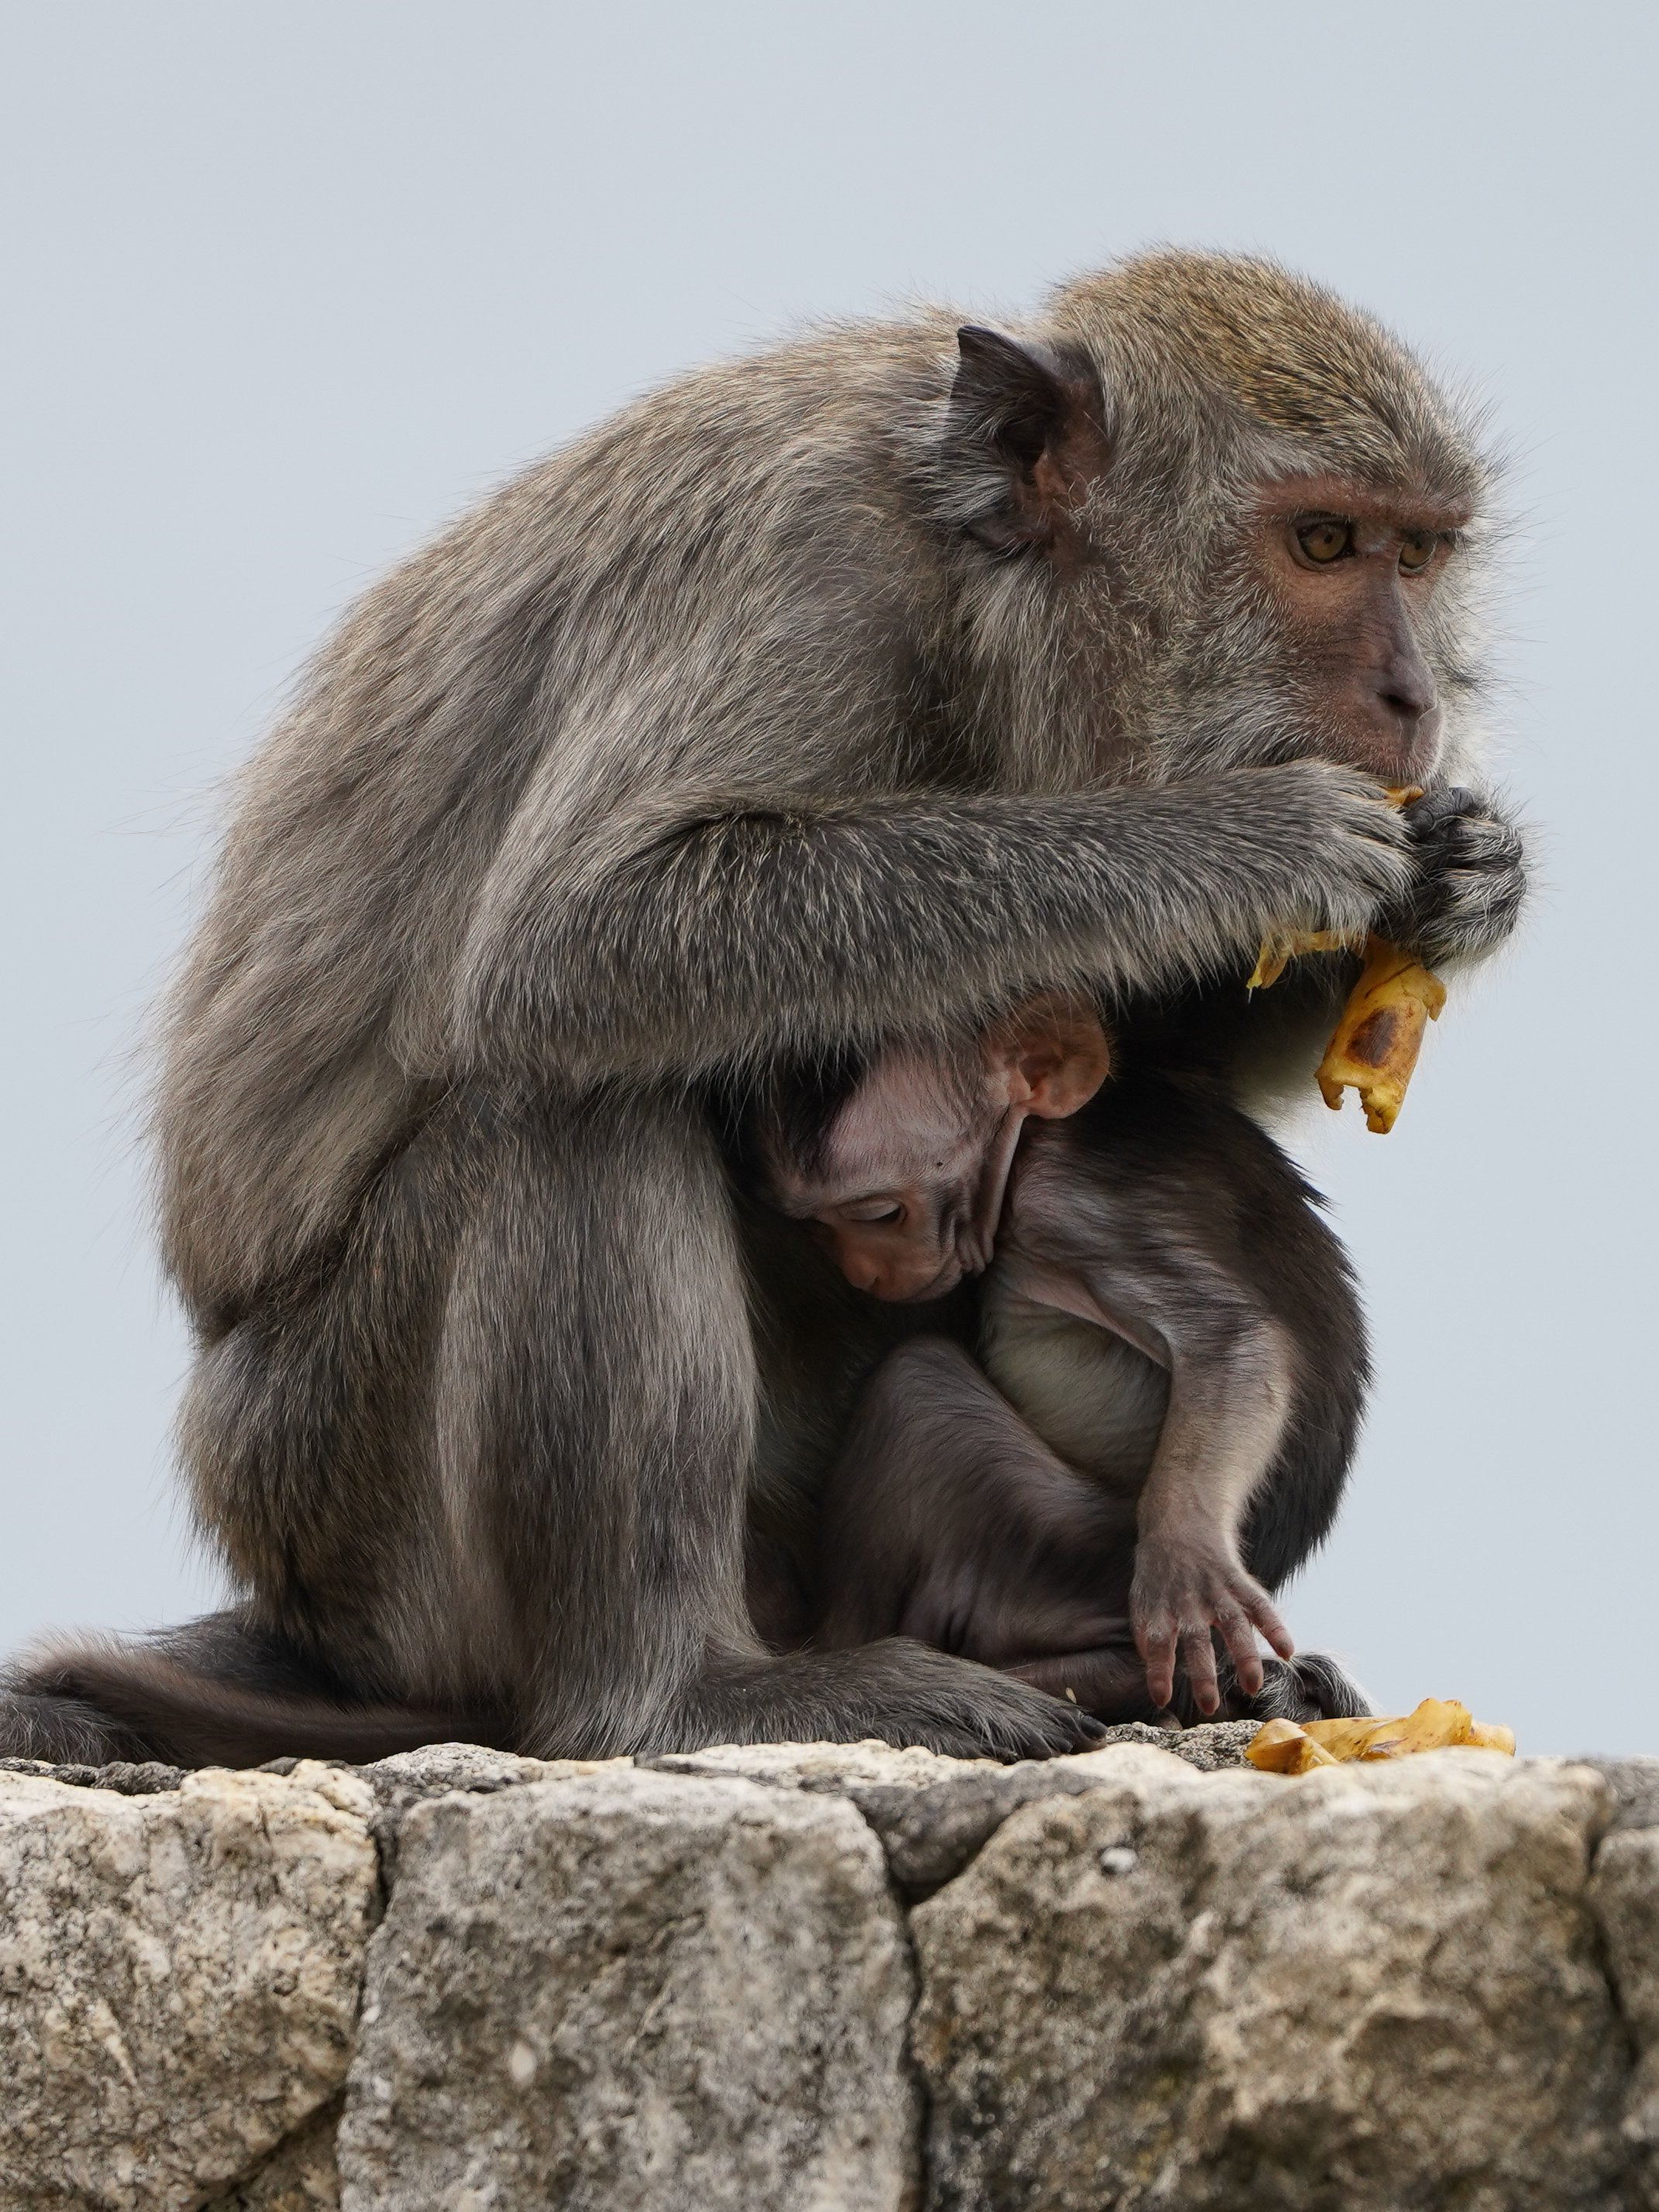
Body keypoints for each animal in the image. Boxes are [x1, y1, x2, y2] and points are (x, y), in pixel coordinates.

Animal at [749, 990, 1370, 1725]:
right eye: (818, 1225)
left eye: (878, 1214)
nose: (864, 1272)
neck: (1036, 1140)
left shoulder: (1066, 1204)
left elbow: (1230, 1341)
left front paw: (1185, 1558)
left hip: (1060, 1552)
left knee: (917, 1391)